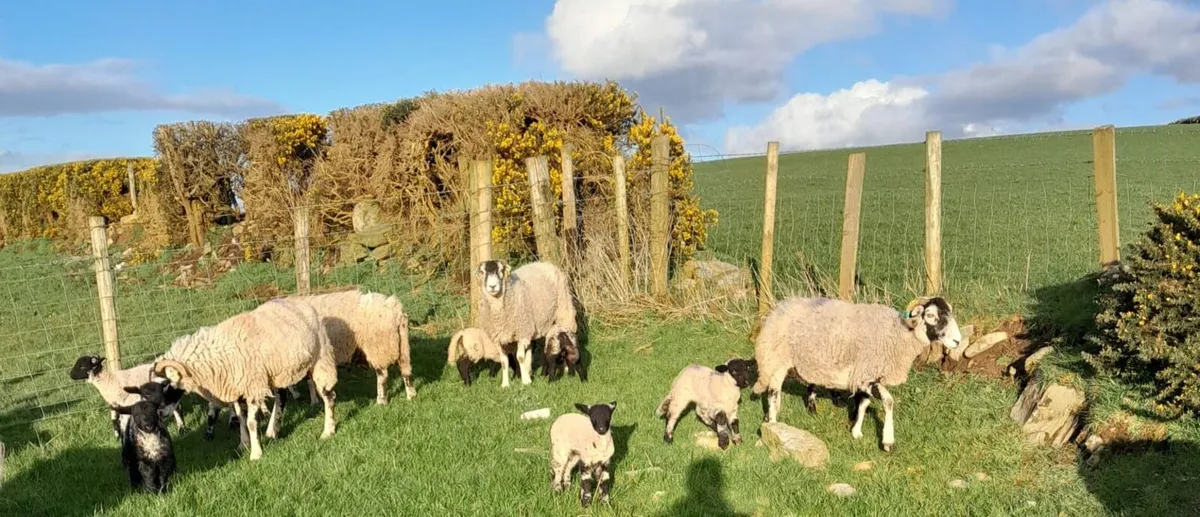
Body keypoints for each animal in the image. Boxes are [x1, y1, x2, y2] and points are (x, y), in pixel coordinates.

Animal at [152, 297, 339, 461]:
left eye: (167, 383)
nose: (159, 413)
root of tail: (302, 303)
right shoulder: (239, 389)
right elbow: (241, 419)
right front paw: (243, 445)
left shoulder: (252, 387)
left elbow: (250, 422)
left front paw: (256, 454)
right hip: (277, 372)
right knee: (281, 398)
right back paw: (273, 431)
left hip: (321, 358)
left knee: (328, 395)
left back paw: (327, 431)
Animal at [751, 295, 963, 452]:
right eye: (930, 315)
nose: (958, 341)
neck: (899, 334)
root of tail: (778, 308)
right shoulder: (867, 373)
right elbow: (888, 402)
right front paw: (888, 441)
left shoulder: (866, 376)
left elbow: (864, 403)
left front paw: (856, 431)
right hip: (777, 358)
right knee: (773, 392)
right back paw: (773, 423)